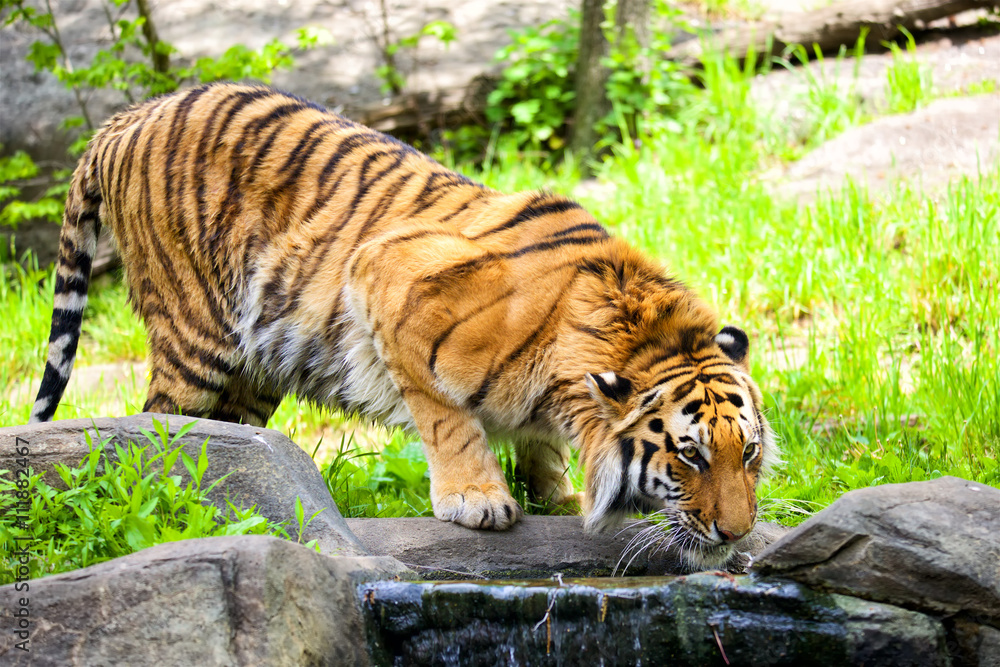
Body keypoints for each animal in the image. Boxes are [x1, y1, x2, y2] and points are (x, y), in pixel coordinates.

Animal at [31, 82, 777, 569]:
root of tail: (128, 117)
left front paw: (557, 495)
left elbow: (541, 445)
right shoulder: (386, 277)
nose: (738, 533)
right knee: (156, 429)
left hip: (257, 365)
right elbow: (447, 418)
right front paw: (479, 500)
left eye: (748, 452)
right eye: (689, 456)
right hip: (196, 337)